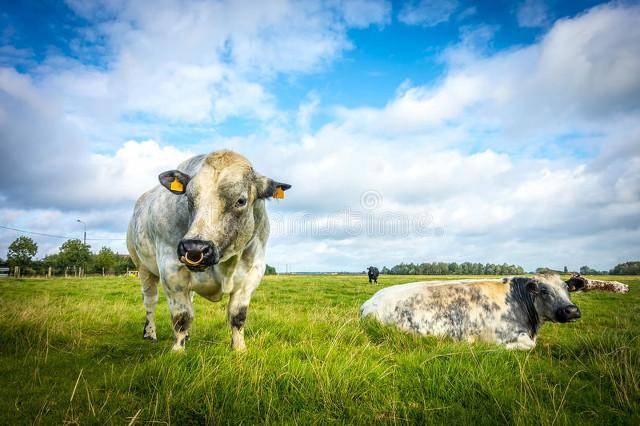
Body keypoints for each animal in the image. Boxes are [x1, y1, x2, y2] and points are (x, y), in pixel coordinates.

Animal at [126, 151, 292, 352]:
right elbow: (182, 317)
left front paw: (239, 349)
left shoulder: (252, 274)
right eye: (189, 199)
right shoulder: (171, 271)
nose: (194, 248)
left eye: (241, 201)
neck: (226, 265)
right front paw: (177, 351)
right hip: (143, 267)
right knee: (150, 301)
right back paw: (150, 333)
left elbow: (238, 316)